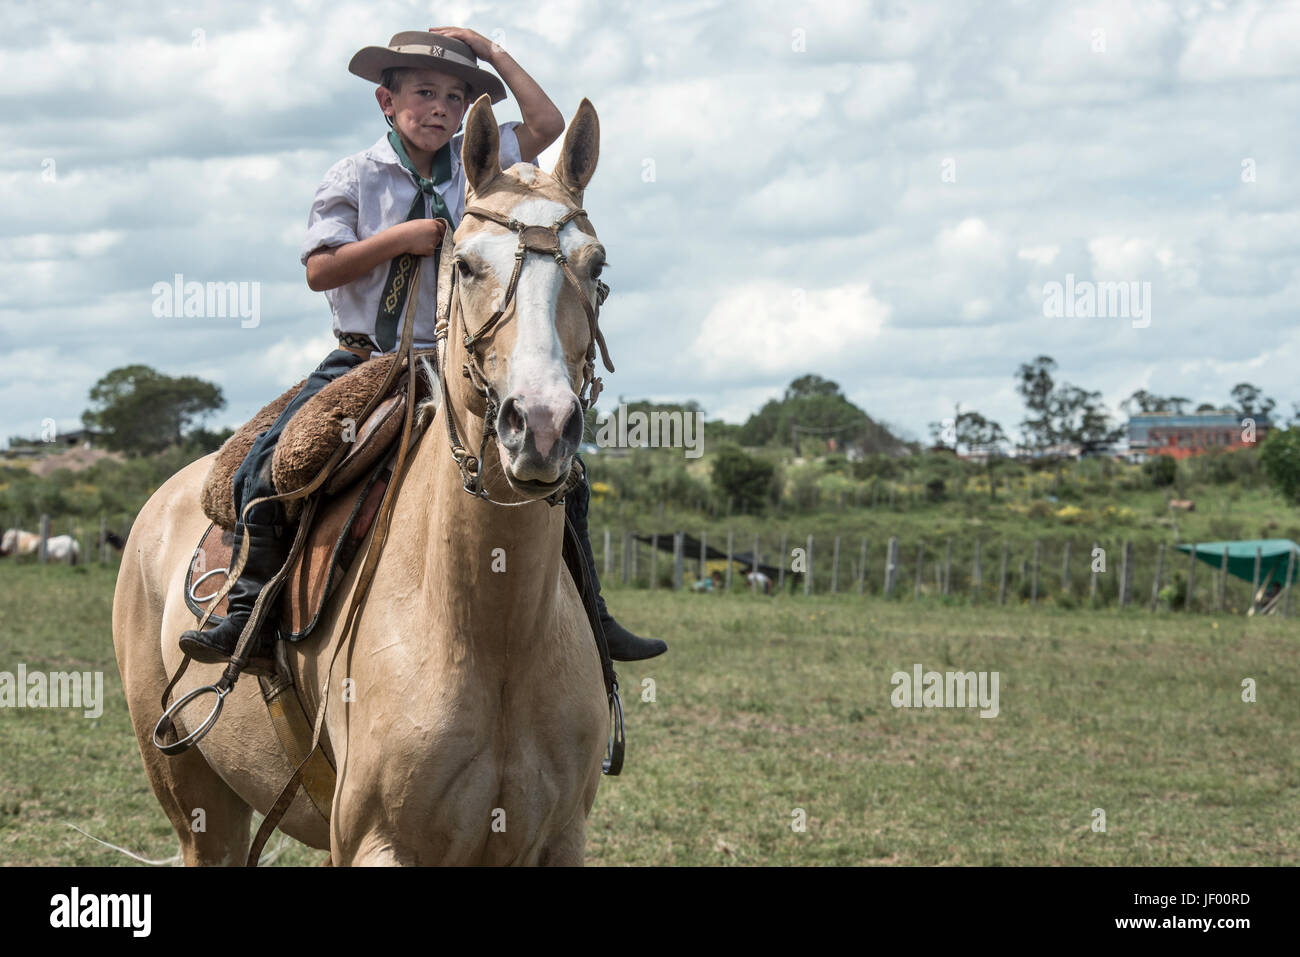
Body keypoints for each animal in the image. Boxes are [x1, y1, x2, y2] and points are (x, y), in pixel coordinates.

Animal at [113, 97, 613, 868]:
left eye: (596, 264)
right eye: (465, 264)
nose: (542, 424)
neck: (489, 636)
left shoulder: (557, 838)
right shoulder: (377, 840)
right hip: (195, 799)